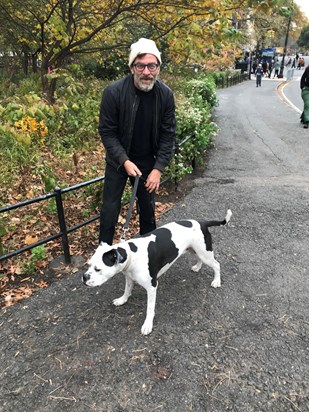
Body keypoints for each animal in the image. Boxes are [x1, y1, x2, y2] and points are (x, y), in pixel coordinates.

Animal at [82, 209, 231, 334]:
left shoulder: (152, 287)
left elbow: (150, 309)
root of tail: (202, 222)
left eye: (98, 269)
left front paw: (147, 325)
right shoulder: (129, 277)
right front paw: (122, 300)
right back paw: (197, 267)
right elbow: (127, 290)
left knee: (216, 265)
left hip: (205, 253)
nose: (84, 277)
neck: (131, 254)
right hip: (196, 250)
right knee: (200, 259)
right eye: (88, 265)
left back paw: (216, 281)